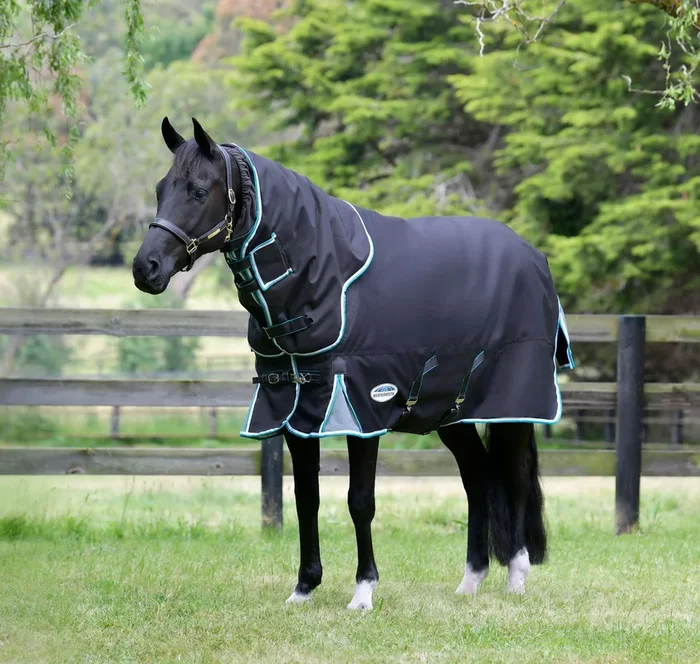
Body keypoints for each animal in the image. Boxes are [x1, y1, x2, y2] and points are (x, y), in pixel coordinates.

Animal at [133, 117, 575, 610]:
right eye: (160, 188)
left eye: (197, 190)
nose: (145, 268)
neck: (326, 275)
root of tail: (533, 257)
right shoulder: (294, 408)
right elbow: (306, 497)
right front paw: (304, 587)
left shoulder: (364, 407)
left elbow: (359, 500)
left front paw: (363, 591)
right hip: (451, 413)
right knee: (478, 477)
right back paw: (470, 581)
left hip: (513, 406)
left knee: (513, 479)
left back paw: (516, 576)